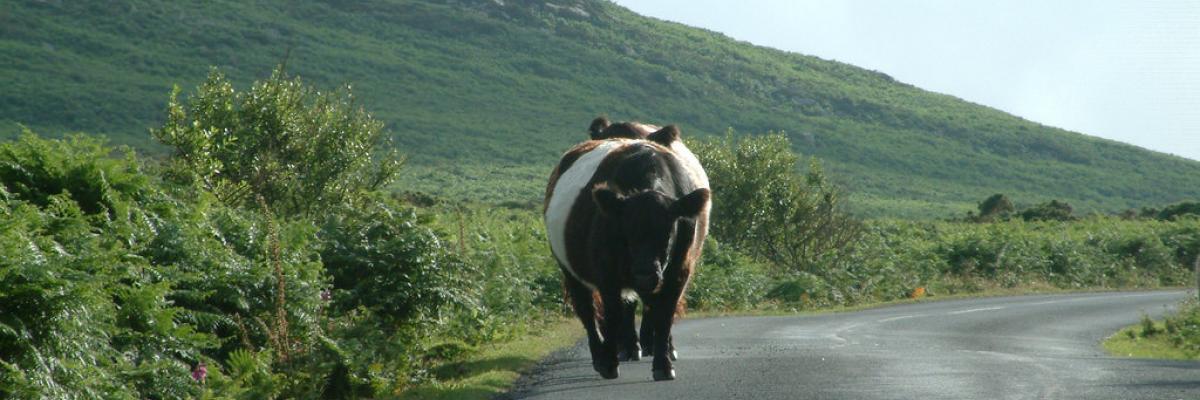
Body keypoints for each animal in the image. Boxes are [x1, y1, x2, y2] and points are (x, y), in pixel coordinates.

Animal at [542, 118, 705, 379]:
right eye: (626, 231)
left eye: (669, 231)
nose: (645, 274)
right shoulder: (607, 273)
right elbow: (613, 314)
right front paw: (610, 362)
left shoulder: (679, 270)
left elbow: (664, 315)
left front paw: (663, 364)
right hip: (570, 270)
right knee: (588, 311)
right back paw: (603, 355)